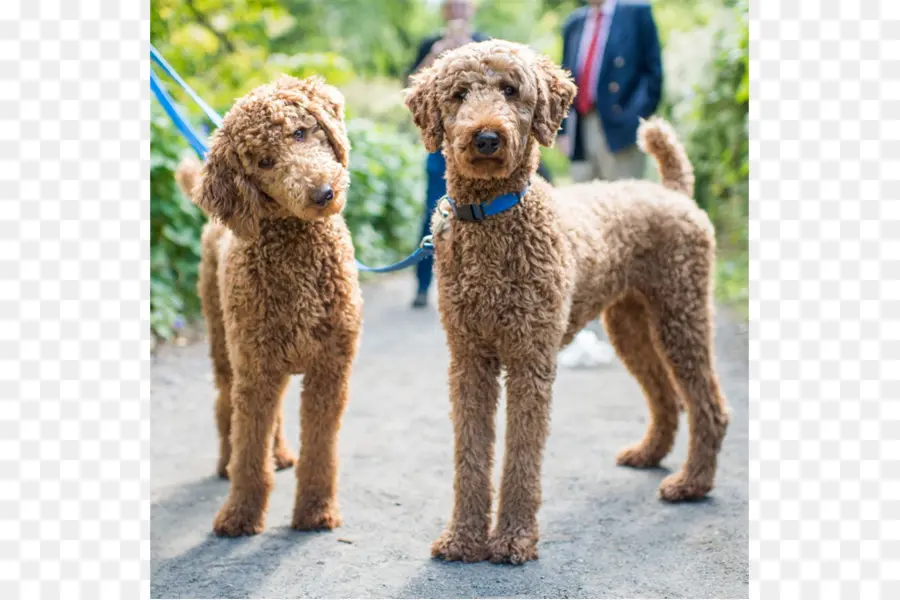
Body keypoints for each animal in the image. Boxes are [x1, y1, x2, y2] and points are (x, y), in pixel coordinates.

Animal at [173, 76, 362, 540]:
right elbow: (248, 454)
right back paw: (225, 462)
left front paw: (316, 511)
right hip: (227, 346)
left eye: (301, 132)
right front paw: (239, 515)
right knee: (226, 407)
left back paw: (279, 455)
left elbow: (321, 452)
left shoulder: (330, 369)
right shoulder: (256, 369)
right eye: (264, 161)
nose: (322, 193)